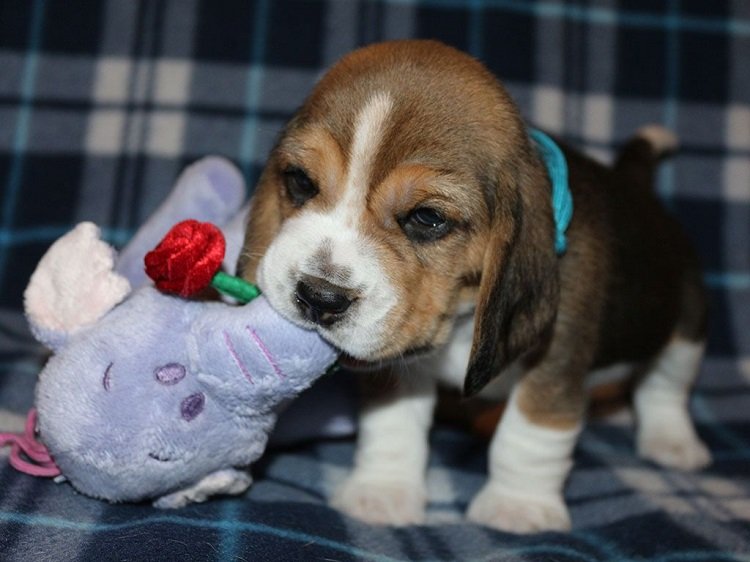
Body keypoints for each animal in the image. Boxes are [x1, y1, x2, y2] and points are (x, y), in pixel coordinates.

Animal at [239, 40, 712, 532]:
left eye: (427, 218)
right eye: (300, 181)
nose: (319, 297)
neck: (460, 319)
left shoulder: (554, 360)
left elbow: (528, 433)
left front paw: (517, 507)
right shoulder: (397, 361)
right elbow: (393, 424)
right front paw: (382, 492)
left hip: (686, 328)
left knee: (665, 386)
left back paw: (672, 443)